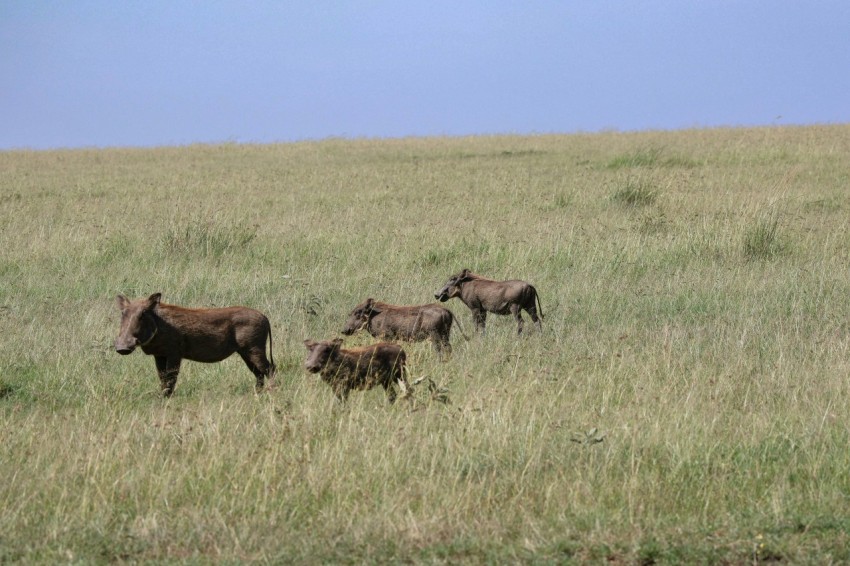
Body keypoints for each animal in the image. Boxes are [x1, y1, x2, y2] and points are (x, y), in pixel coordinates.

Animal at [114, 293, 275, 396]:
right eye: (123, 313)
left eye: (143, 313)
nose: (122, 347)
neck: (160, 324)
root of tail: (264, 316)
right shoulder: (159, 355)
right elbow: (162, 377)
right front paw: (162, 397)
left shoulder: (174, 354)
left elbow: (171, 377)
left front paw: (167, 398)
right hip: (246, 353)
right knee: (259, 374)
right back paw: (257, 394)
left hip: (255, 349)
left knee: (269, 369)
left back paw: (271, 392)